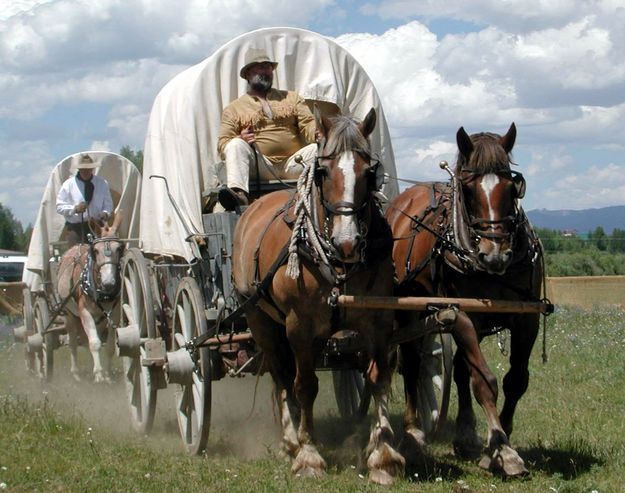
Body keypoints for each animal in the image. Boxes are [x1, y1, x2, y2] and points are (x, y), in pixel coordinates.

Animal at [58, 214, 126, 380]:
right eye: (96, 250)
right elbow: (94, 343)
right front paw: (99, 374)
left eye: (119, 248)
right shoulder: (85, 312)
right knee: (73, 343)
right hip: (69, 315)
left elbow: (109, 346)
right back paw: (76, 373)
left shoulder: (114, 315)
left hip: (98, 319)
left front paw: (107, 374)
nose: (109, 283)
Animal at [232, 108, 402, 484]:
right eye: (323, 172)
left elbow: (379, 378)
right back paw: (290, 441)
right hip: (261, 321)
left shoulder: (379, 321)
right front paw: (309, 455)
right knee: (282, 376)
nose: (347, 242)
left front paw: (382, 455)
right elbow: (305, 385)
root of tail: (254, 204)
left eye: (370, 172)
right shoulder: (299, 325)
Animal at [388, 123, 544, 476]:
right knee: (413, 364)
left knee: (458, 368)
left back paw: (465, 435)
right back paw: (413, 434)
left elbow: (516, 380)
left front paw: (499, 439)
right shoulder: (464, 315)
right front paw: (502, 448)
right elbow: (484, 380)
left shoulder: (527, 318)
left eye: (512, 187)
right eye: (469, 190)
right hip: (407, 310)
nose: (494, 253)